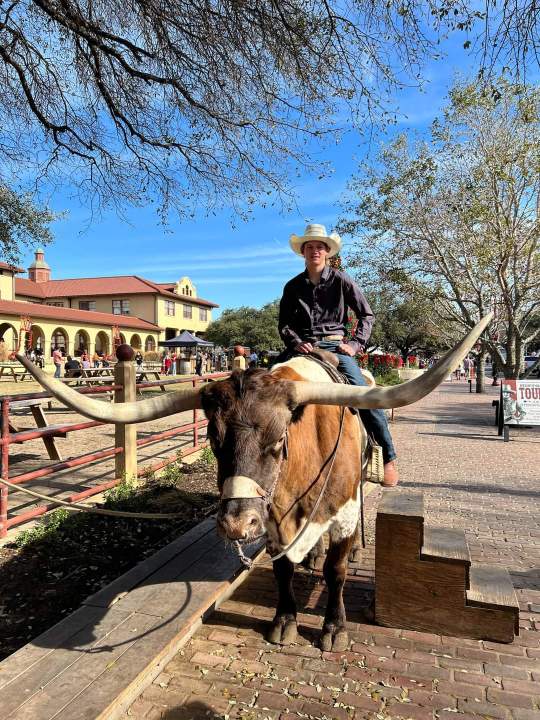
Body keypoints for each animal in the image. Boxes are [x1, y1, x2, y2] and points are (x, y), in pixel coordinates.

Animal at [16, 315, 491, 651]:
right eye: (213, 437)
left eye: (279, 440)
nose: (236, 524)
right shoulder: (275, 520)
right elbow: (282, 569)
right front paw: (285, 620)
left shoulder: (340, 510)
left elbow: (337, 572)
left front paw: (333, 628)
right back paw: (311, 555)